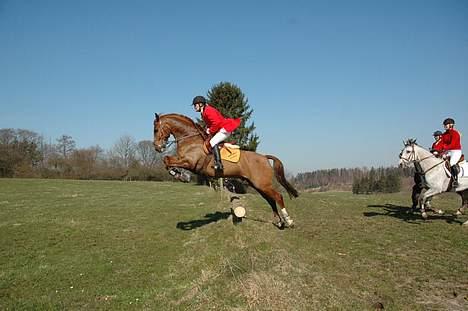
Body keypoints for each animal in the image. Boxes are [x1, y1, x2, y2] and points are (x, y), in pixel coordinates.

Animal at [154, 113, 300, 228]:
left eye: (155, 129)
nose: (157, 147)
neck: (190, 139)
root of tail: (264, 157)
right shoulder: (183, 160)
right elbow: (166, 160)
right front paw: (179, 174)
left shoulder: (190, 162)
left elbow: (167, 160)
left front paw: (181, 175)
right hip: (257, 185)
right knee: (270, 200)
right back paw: (279, 222)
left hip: (262, 184)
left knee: (278, 196)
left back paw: (289, 221)